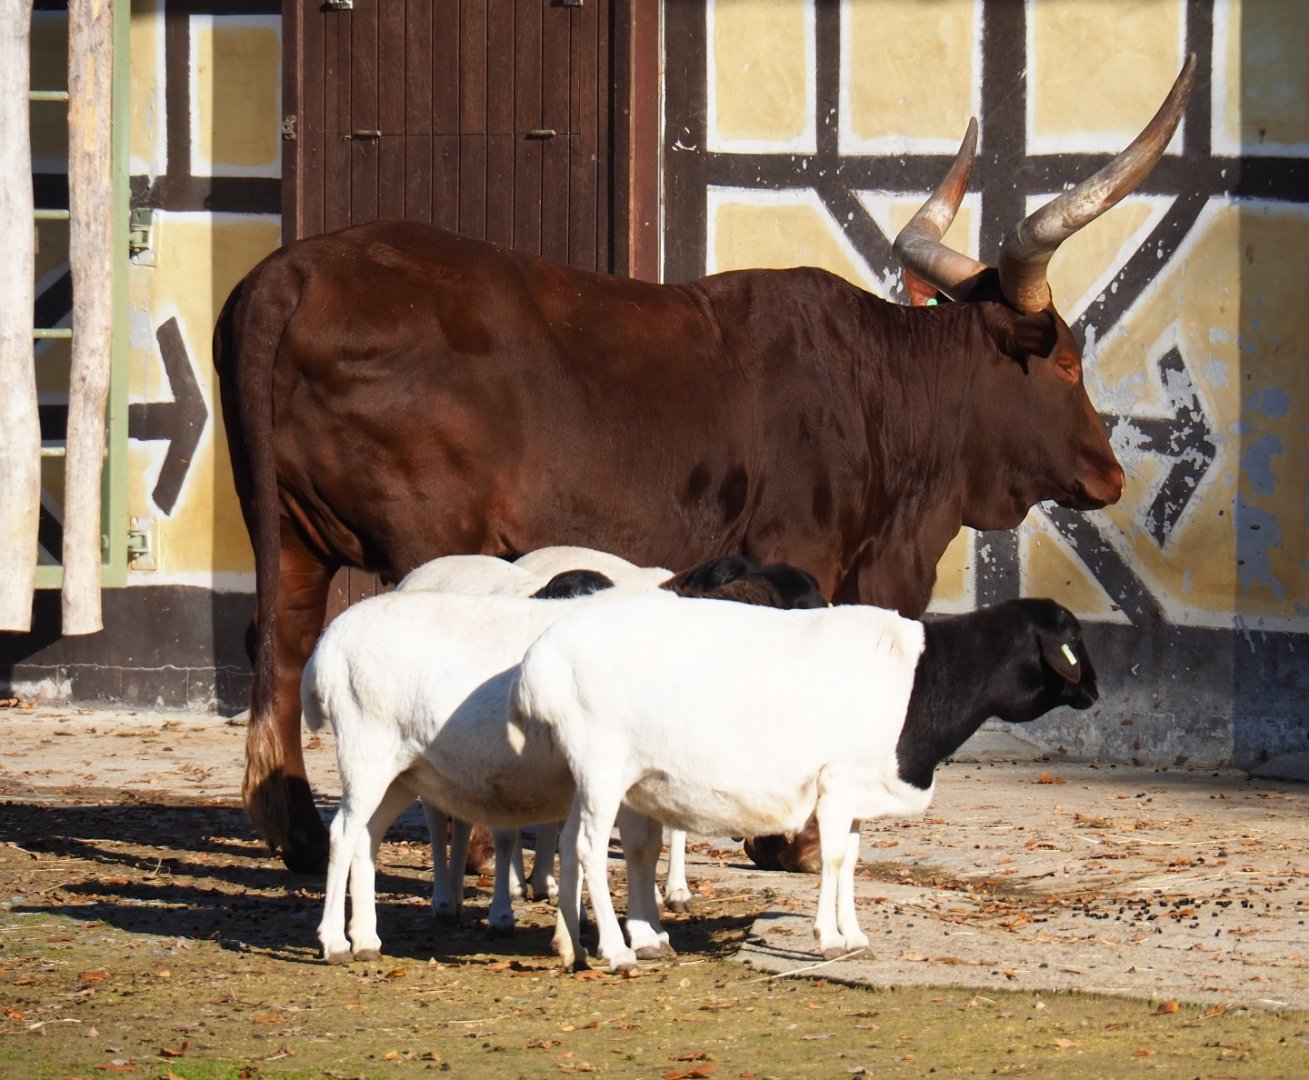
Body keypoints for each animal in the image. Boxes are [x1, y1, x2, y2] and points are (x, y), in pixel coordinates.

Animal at [214, 58, 1194, 873]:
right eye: (1062, 361)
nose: (1108, 474)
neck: (878, 388)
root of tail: (287, 275)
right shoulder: (803, 557)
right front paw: (790, 838)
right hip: (432, 538)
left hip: (291, 537)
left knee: (281, 645)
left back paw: (298, 833)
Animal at [509, 595, 1098, 972]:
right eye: (1072, 639)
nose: (1094, 691)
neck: (925, 679)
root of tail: (535, 665)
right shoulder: (835, 783)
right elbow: (834, 861)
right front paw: (829, 939)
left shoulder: (856, 791)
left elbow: (850, 861)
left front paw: (854, 935)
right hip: (601, 766)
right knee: (588, 847)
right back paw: (616, 951)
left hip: (599, 776)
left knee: (580, 844)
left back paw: (576, 946)